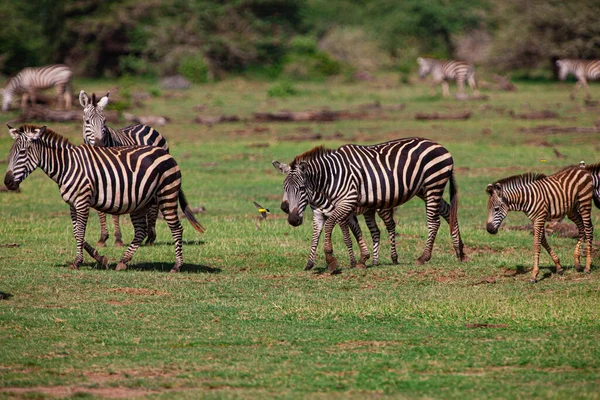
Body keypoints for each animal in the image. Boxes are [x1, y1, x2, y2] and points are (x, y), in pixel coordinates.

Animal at [3, 124, 206, 272]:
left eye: (22, 153)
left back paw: (177, 266)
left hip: (167, 195)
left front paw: (78, 262)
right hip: (141, 201)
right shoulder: (72, 204)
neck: (67, 166)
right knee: (140, 231)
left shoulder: (82, 201)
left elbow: (80, 232)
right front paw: (101, 258)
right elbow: (76, 233)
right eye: (11, 153)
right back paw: (123, 261)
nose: (7, 182)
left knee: (177, 229)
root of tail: (167, 153)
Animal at [78, 90, 169, 247]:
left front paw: (118, 239)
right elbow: (100, 211)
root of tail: (145, 125)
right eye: (87, 121)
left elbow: (115, 212)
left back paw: (151, 237)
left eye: (105, 121)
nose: (100, 145)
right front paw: (102, 238)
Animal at [274, 138, 466, 272]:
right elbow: (317, 234)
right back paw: (460, 252)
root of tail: (441, 147)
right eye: (284, 188)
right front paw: (310, 263)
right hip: (425, 189)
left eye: (301, 188)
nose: (292, 219)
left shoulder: (347, 202)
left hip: (433, 184)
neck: (330, 178)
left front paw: (331, 259)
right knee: (449, 212)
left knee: (434, 221)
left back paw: (423, 257)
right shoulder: (323, 212)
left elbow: (333, 228)